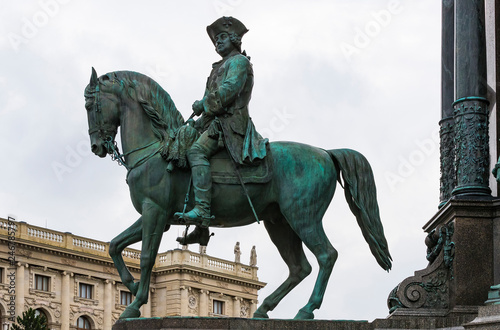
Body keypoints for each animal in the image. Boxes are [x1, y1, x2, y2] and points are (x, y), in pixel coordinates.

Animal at [84, 66, 392, 320]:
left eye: (90, 105)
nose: (97, 147)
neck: (158, 150)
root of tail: (326, 152)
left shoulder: (155, 212)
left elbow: (147, 256)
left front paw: (135, 304)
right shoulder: (158, 215)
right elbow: (115, 245)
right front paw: (132, 284)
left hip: (302, 217)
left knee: (327, 255)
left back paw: (305, 310)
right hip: (279, 222)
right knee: (299, 267)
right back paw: (264, 308)